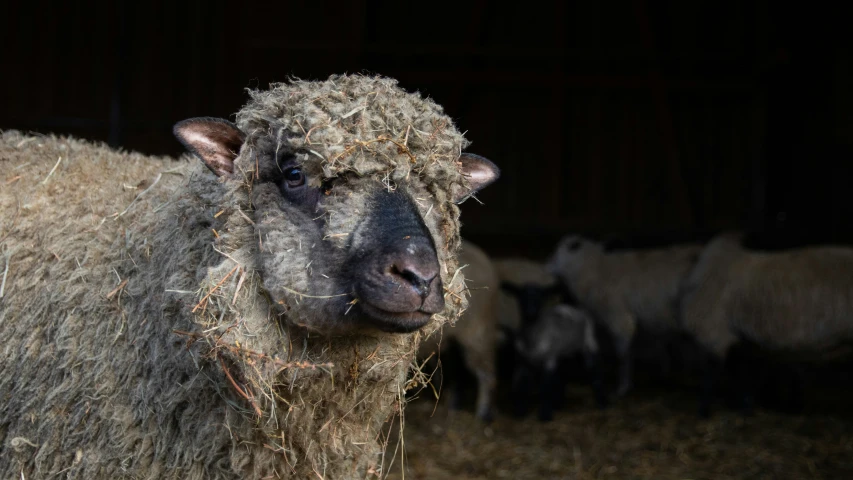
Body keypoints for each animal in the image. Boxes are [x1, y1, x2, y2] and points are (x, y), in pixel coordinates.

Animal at [544, 234, 704, 396]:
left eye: (562, 249)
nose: (545, 264)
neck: (597, 271)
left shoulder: (619, 318)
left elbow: (623, 354)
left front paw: (622, 388)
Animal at [680, 232, 852, 416]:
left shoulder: (715, 333)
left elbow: (711, 376)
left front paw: (703, 413)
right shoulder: (741, 343)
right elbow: (742, 378)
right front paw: (746, 409)